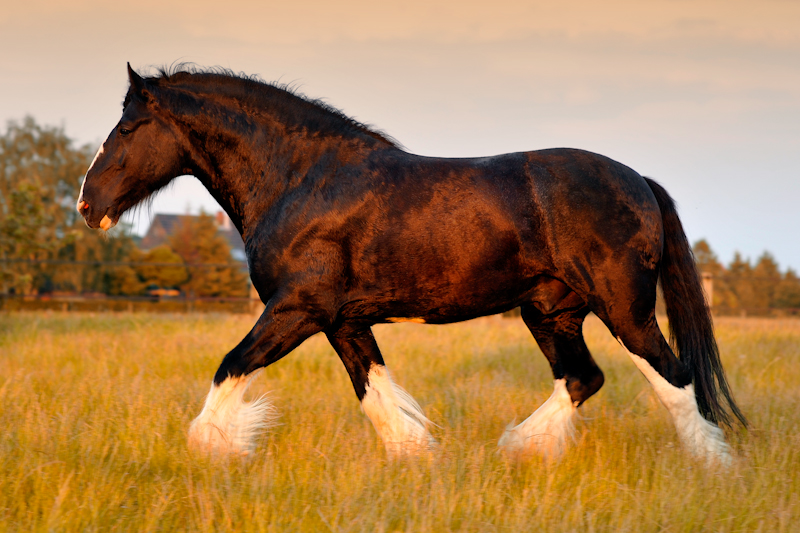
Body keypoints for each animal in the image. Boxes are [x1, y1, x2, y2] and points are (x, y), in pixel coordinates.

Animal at [75, 62, 744, 462]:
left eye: (128, 126)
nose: (88, 205)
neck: (303, 179)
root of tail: (638, 181)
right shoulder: (342, 322)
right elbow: (376, 397)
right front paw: (419, 459)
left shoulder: (297, 310)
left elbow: (230, 368)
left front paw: (212, 450)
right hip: (551, 312)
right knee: (583, 379)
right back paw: (518, 447)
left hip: (624, 307)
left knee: (673, 379)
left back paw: (712, 471)